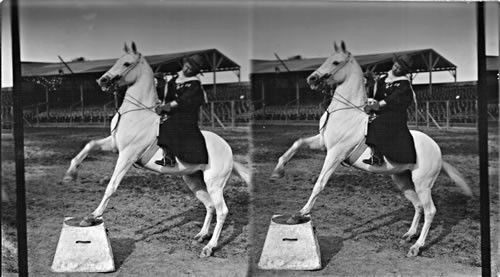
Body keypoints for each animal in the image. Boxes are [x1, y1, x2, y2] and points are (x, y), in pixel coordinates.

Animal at [62, 42, 250, 258]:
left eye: (126, 63)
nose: (102, 80)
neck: (136, 114)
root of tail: (228, 150)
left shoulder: (128, 154)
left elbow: (112, 185)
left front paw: (92, 216)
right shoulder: (114, 145)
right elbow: (89, 145)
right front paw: (70, 174)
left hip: (215, 183)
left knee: (222, 211)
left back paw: (209, 247)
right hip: (194, 180)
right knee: (210, 206)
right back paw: (201, 235)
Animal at [272, 41, 470, 256]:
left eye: (336, 62)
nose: (312, 78)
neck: (346, 113)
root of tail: (437, 151)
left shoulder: (335, 153)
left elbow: (320, 183)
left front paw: (300, 214)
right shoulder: (323, 143)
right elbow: (297, 143)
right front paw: (278, 171)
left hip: (423, 183)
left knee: (430, 210)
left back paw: (417, 247)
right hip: (402, 179)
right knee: (418, 206)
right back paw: (409, 235)